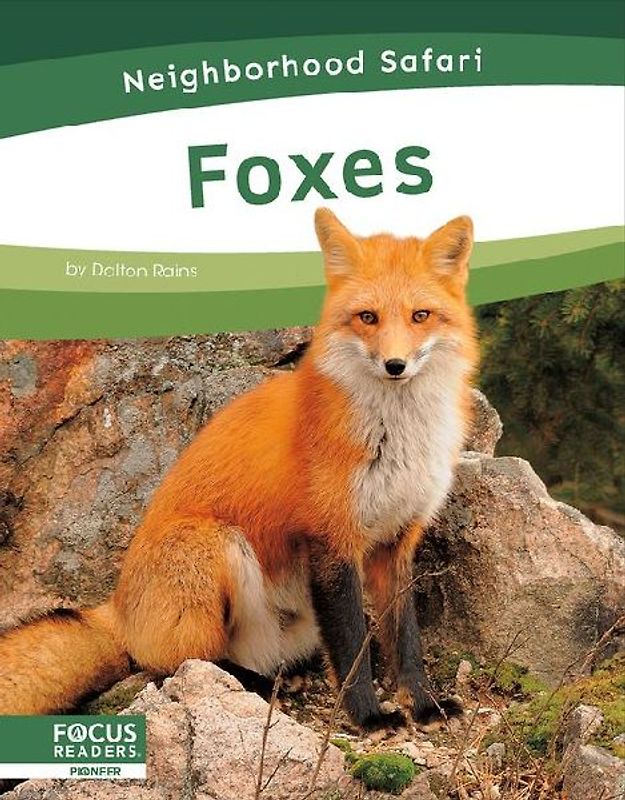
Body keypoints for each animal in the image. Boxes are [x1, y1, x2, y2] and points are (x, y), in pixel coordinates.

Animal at [0, 209, 478, 728]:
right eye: (367, 317)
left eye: (420, 316)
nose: (395, 365)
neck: (396, 438)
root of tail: (118, 607)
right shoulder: (332, 538)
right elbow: (352, 647)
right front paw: (368, 717)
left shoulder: (398, 540)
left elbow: (406, 639)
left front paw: (425, 705)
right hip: (213, 545)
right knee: (180, 662)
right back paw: (254, 683)